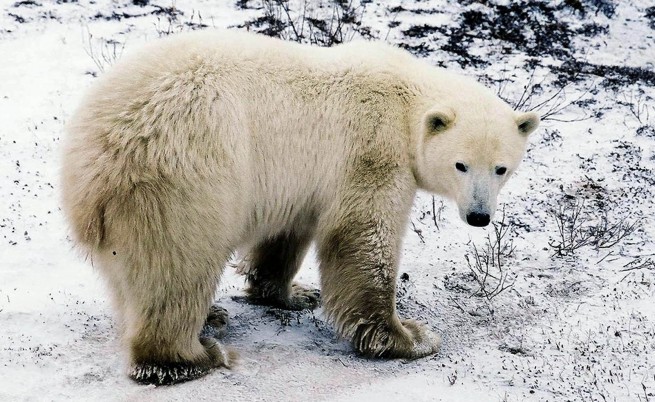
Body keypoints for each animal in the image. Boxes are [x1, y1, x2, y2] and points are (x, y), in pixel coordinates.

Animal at [61, 29, 540, 384]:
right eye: (461, 164)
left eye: (501, 168)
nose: (479, 217)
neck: (406, 101)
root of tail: (93, 161)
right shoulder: (371, 150)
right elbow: (364, 237)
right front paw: (409, 337)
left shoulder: (302, 181)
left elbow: (286, 235)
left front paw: (294, 293)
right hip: (187, 174)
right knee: (177, 263)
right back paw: (191, 355)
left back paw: (209, 317)